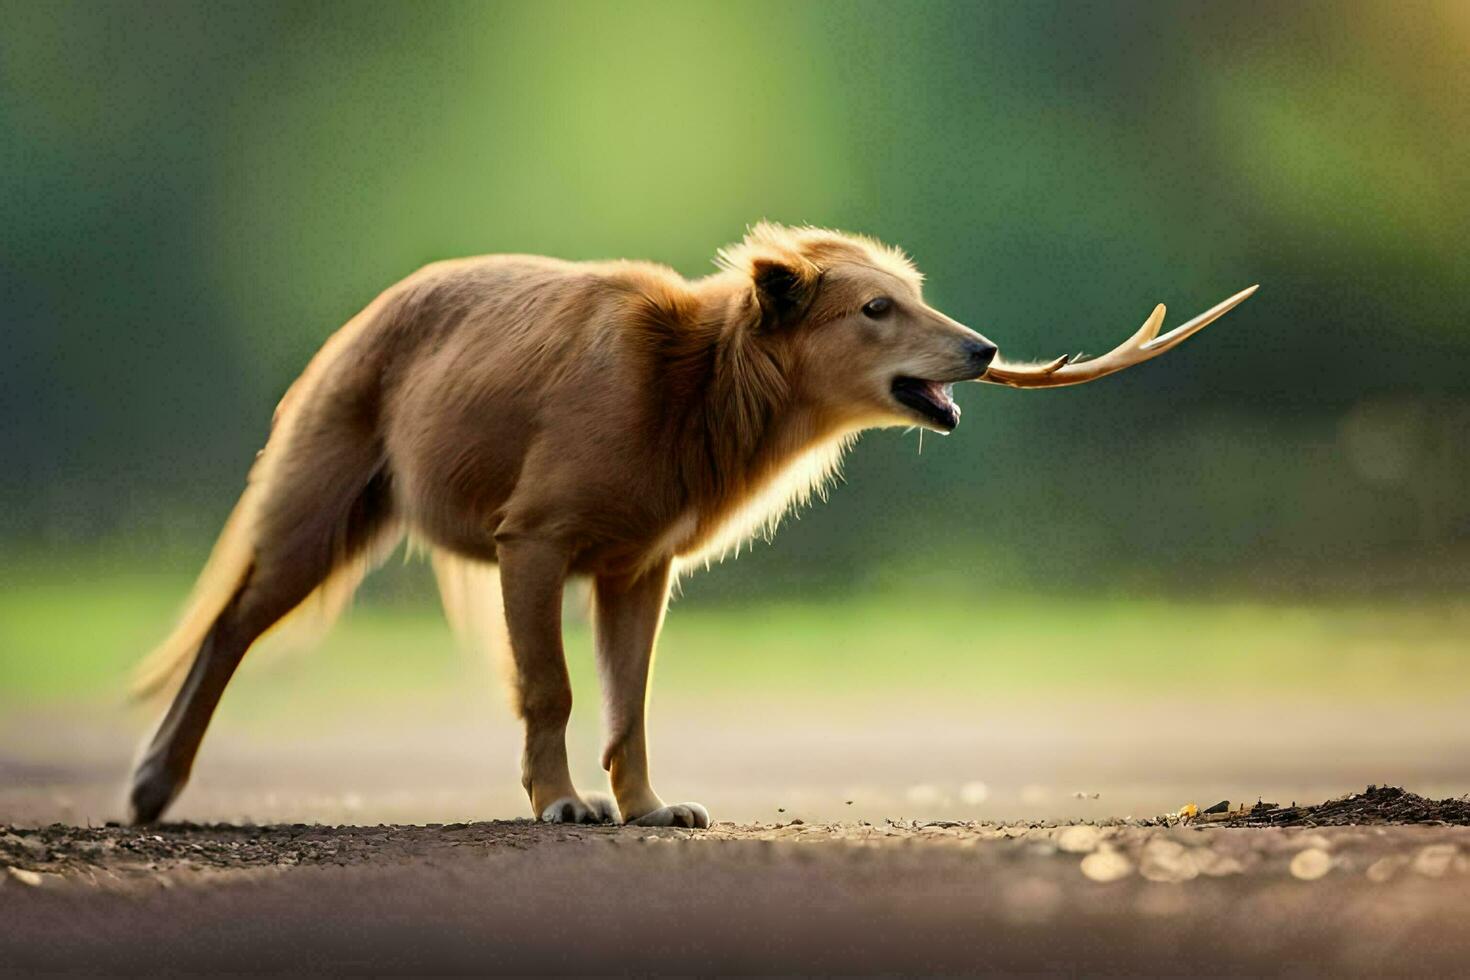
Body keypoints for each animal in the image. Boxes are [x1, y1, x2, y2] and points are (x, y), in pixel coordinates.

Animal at [129, 224, 1252, 828]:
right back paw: (148, 786)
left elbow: (631, 701)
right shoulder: (534, 541)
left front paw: (649, 809)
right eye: (876, 309)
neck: (696, 392)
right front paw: (559, 804)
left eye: (916, 297)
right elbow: (552, 688)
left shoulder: (639, 566)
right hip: (319, 509)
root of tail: (360, 319)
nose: (982, 348)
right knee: (228, 625)